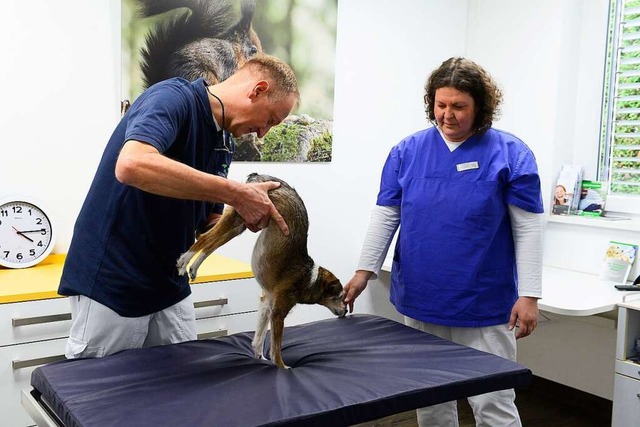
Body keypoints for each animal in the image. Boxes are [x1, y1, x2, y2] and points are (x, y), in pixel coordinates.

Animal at [175, 173, 348, 368]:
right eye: (340, 297)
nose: (346, 312)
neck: (309, 278)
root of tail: (260, 176)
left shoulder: (266, 304)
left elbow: (259, 337)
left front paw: (260, 357)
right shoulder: (278, 313)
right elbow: (276, 346)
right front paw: (282, 367)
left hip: (240, 223)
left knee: (210, 246)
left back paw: (193, 268)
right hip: (239, 216)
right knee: (204, 238)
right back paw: (183, 261)